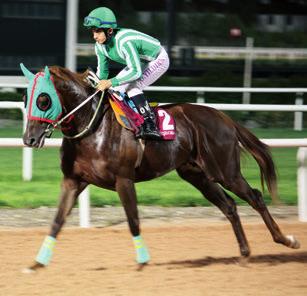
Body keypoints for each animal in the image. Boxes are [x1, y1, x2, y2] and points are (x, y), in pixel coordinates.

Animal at [20, 64, 300, 270]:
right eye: (25, 98)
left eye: (43, 100)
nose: (29, 139)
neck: (92, 126)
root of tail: (225, 118)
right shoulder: (73, 180)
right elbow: (57, 221)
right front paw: (37, 263)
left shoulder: (124, 180)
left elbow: (133, 220)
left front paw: (143, 261)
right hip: (197, 175)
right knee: (229, 206)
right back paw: (244, 252)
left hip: (225, 170)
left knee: (255, 197)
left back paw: (286, 240)